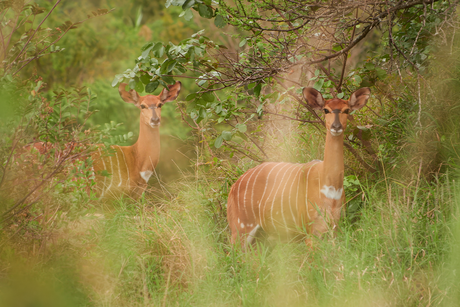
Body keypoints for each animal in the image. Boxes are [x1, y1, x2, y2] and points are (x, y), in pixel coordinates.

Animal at [226, 86, 370, 250]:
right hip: (240, 227)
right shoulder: (311, 229)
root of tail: (234, 186)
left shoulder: (336, 225)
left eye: (346, 110)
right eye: (326, 110)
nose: (336, 127)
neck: (330, 185)